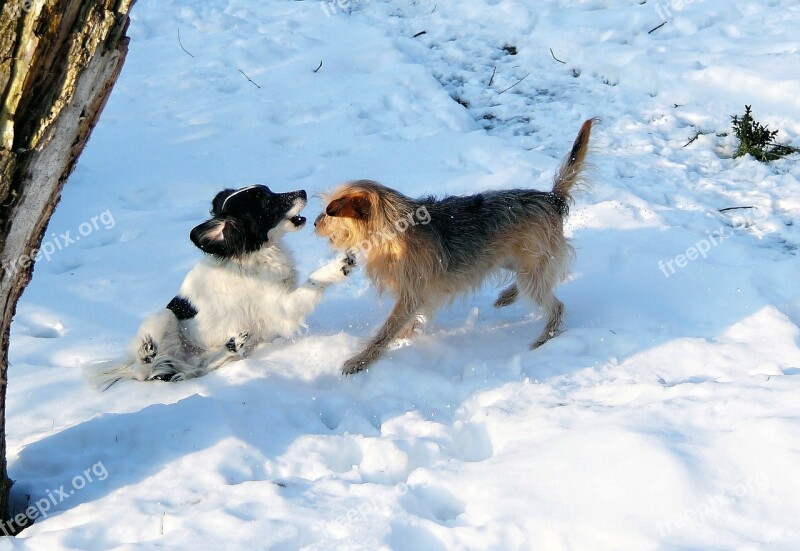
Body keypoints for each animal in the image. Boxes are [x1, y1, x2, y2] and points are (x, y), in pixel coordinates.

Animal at [89, 185, 354, 388]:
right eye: (266, 202)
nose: (303, 191)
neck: (254, 255)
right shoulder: (283, 307)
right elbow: (314, 280)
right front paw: (340, 265)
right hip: (163, 316)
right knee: (144, 372)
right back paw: (147, 353)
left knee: (200, 366)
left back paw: (232, 345)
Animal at [316, 118, 592, 374]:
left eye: (329, 212)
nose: (315, 222)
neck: (394, 228)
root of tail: (551, 198)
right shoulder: (417, 295)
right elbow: (405, 323)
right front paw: (402, 337)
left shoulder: (411, 294)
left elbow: (386, 331)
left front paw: (360, 360)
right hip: (510, 259)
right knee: (536, 280)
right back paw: (508, 296)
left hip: (531, 266)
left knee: (555, 305)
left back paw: (544, 338)